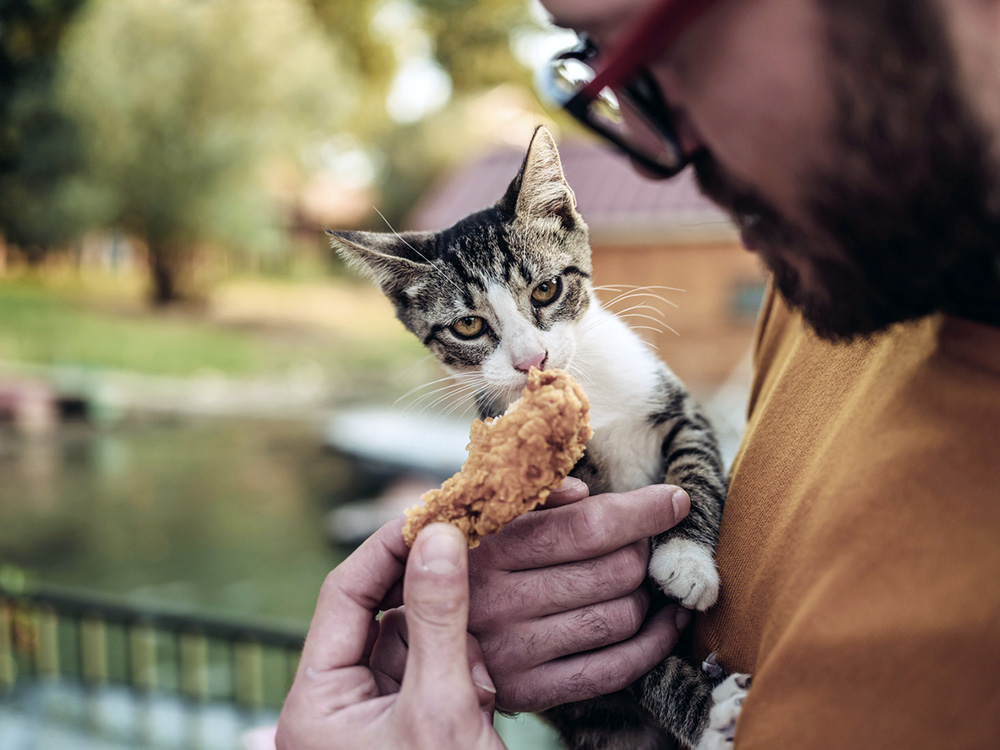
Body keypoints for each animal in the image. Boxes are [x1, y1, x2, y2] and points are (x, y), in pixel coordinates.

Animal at [332, 129, 748, 750]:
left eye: (547, 289)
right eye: (468, 326)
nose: (532, 360)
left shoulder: (677, 405)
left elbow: (696, 462)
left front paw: (686, 561)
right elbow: (626, 657)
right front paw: (707, 712)